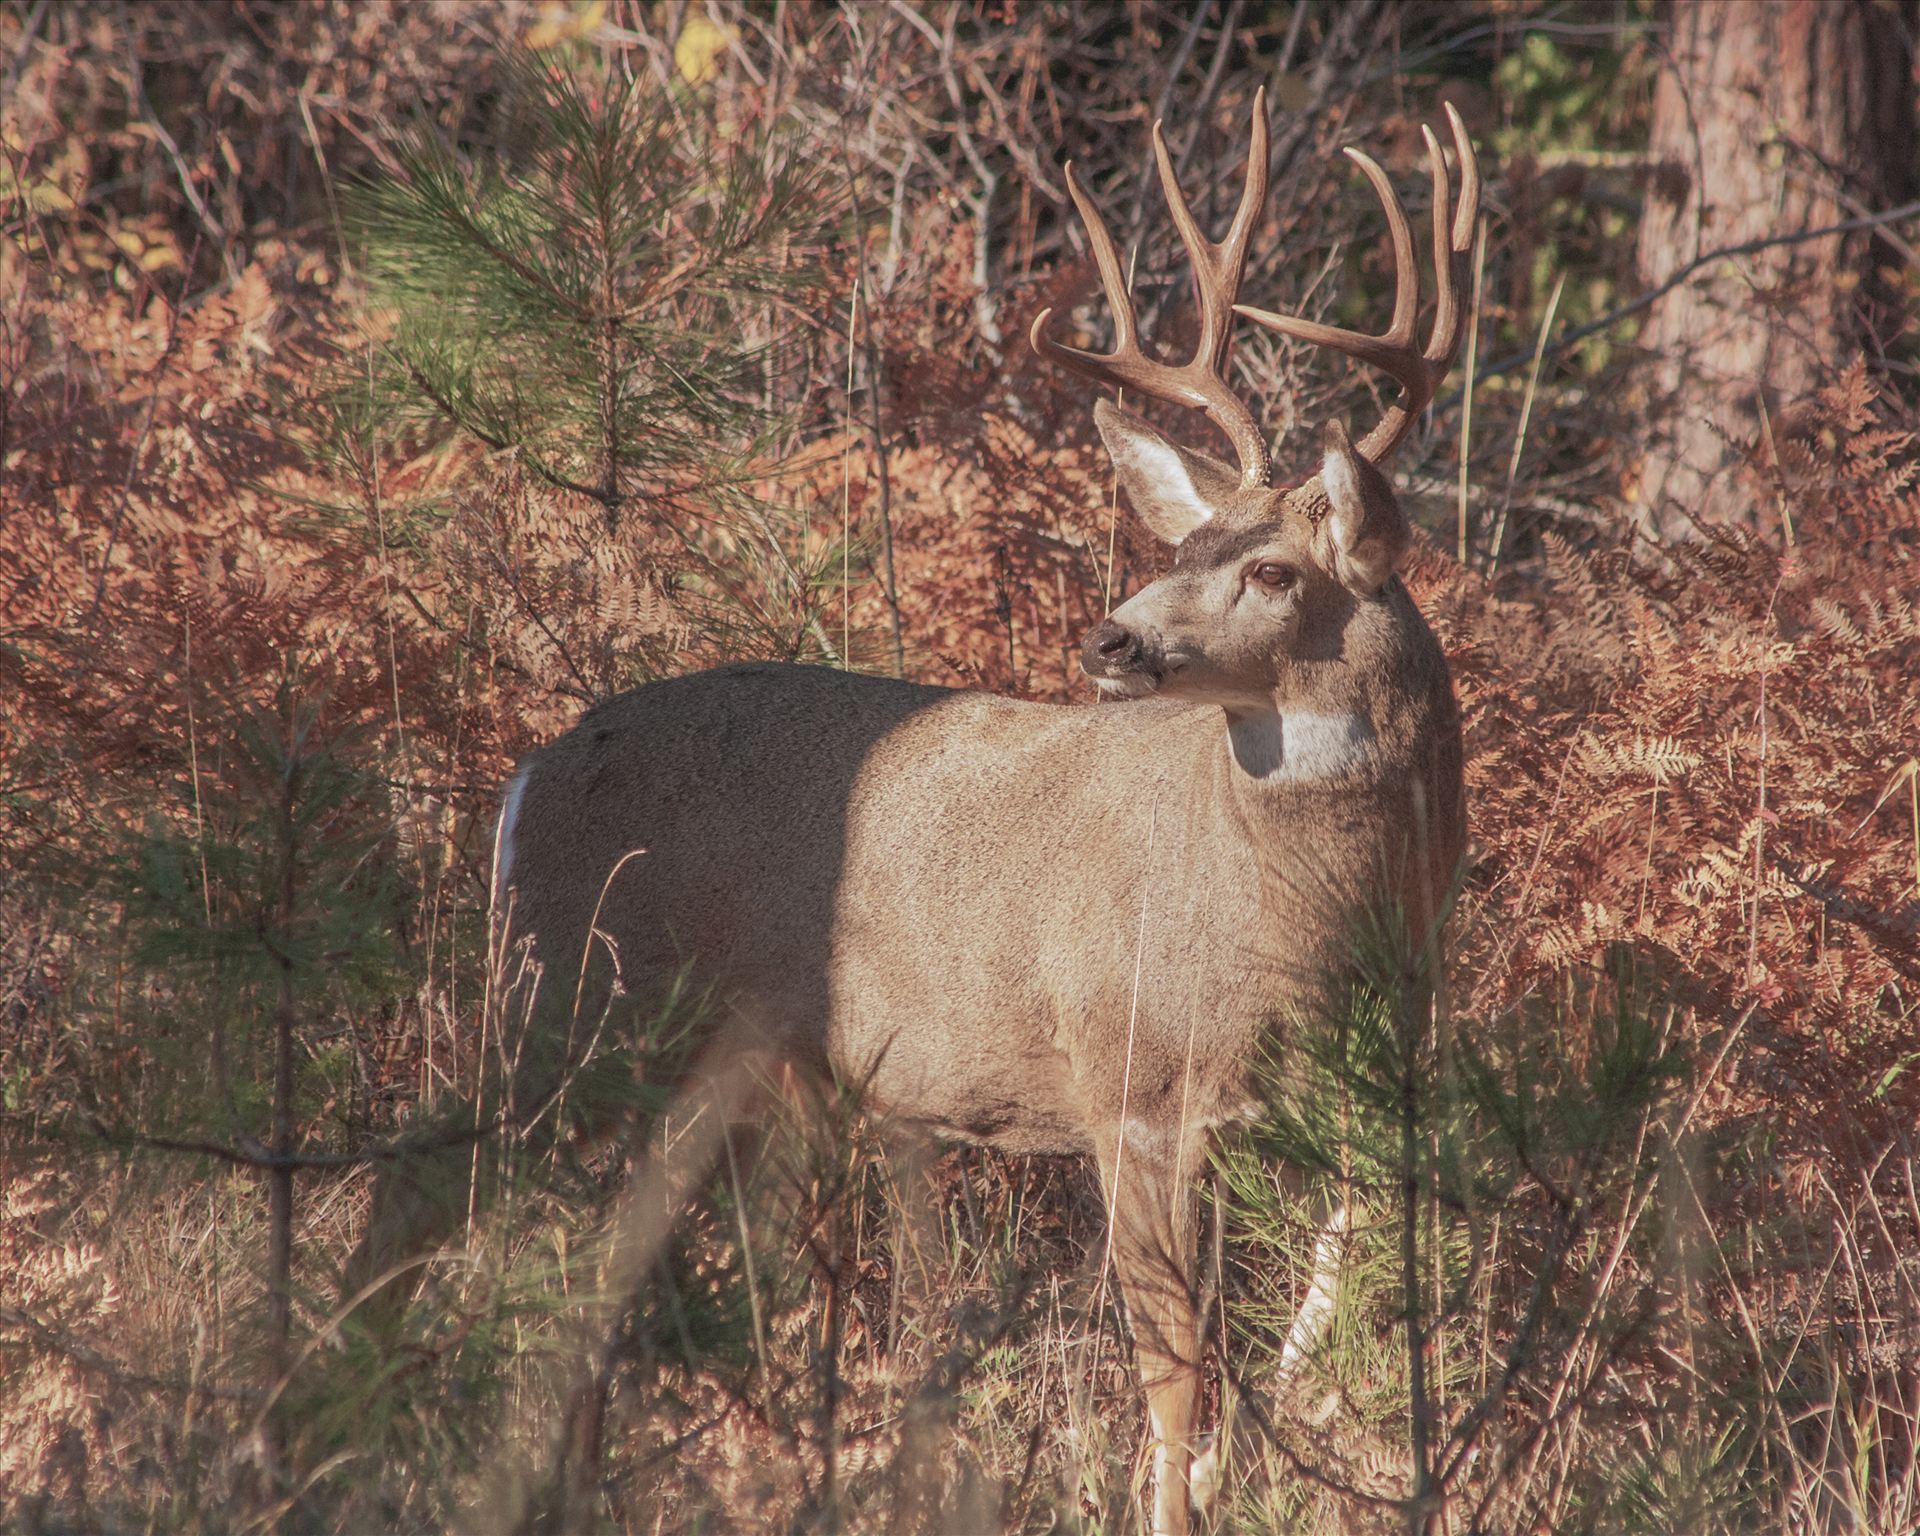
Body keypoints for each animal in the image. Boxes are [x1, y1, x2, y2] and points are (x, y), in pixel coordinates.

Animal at [353, 90, 1474, 1528]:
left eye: (1275, 569)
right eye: (1180, 547)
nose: (1110, 639)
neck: (1312, 919)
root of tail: (526, 775)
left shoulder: (1360, 1089)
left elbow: (1323, 1322)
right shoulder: (1130, 1078)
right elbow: (1175, 1375)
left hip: (701, 1060)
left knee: (599, 1269)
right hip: (567, 992)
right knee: (412, 1190)